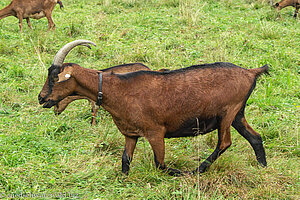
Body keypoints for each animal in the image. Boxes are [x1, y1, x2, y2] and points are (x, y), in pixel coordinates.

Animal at [38, 40, 268, 175]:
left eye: (54, 77)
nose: (41, 98)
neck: (116, 89)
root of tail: (250, 72)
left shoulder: (156, 132)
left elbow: (160, 163)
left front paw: (178, 173)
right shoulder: (131, 134)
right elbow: (125, 160)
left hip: (228, 113)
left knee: (224, 142)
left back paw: (197, 170)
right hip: (238, 114)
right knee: (255, 137)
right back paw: (262, 167)